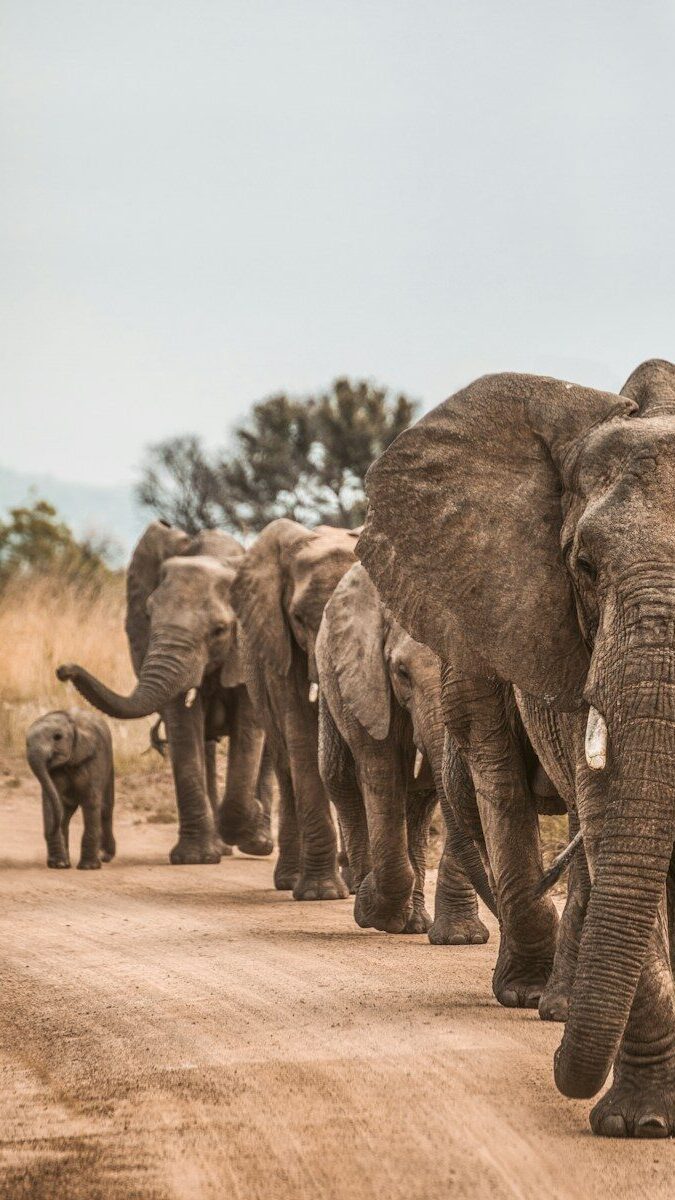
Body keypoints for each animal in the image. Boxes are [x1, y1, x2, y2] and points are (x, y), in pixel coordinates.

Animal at [26, 708, 115, 869]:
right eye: (26, 743)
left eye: (57, 737)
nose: (50, 830)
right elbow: (51, 800)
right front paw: (58, 865)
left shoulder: (94, 758)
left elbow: (91, 800)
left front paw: (88, 868)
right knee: (65, 813)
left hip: (109, 765)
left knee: (105, 809)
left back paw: (105, 856)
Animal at [57, 522, 273, 865]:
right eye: (147, 616)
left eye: (219, 630)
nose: (64, 669)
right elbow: (182, 727)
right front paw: (196, 859)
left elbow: (250, 729)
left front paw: (248, 817)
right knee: (206, 745)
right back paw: (222, 845)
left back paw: (258, 843)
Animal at [230, 518, 358, 900]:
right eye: (299, 618)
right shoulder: (278, 641)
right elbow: (301, 733)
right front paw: (321, 894)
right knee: (286, 765)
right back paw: (291, 880)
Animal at [316, 561, 495, 938]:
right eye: (401, 672)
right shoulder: (367, 679)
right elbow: (381, 773)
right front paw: (373, 910)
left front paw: (462, 938)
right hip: (331, 681)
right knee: (340, 778)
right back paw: (368, 899)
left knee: (421, 802)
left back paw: (413, 924)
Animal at [357, 359, 675, 1137]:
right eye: (583, 566)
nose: (561, 1070)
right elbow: (610, 820)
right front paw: (639, 1124)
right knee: (504, 778)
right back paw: (538, 998)